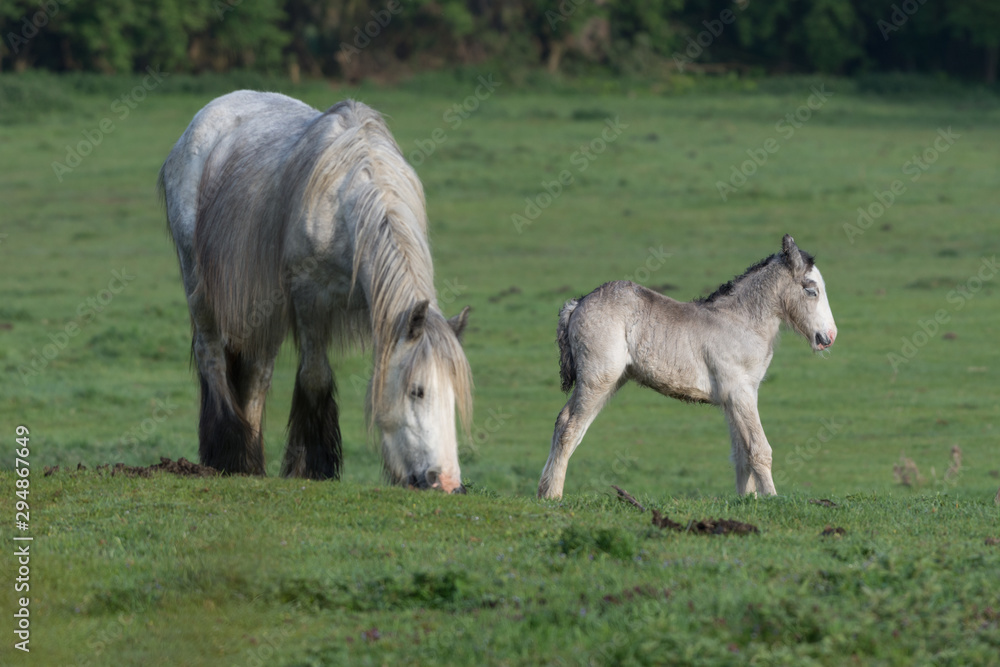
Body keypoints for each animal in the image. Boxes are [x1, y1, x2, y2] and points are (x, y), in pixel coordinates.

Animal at [158, 91, 473, 493]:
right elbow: (315, 376)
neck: (346, 201)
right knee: (211, 356)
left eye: (453, 395)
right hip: (200, 288)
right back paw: (230, 455)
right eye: (417, 390)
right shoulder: (310, 298)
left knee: (256, 375)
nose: (446, 483)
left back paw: (251, 463)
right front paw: (313, 466)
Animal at [538, 235, 837, 499]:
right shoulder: (740, 393)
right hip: (598, 379)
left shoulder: (736, 398)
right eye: (811, 289)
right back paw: (554, 496)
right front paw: (771, 498)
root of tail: (579, 303)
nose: (829, 337)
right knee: (570, 429)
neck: (741, 322)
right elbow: (759, 449)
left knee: (564, 423)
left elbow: (741, 453)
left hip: (609, 382)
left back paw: (543, 491)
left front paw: (747, 499)